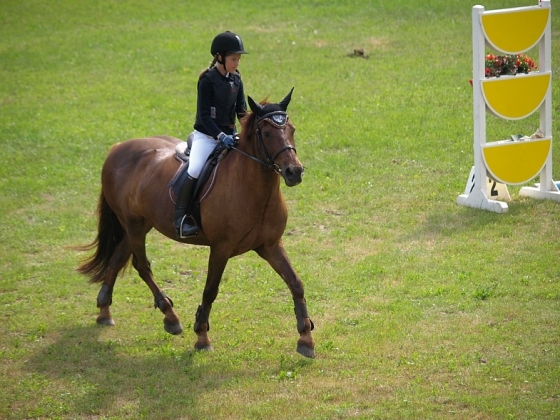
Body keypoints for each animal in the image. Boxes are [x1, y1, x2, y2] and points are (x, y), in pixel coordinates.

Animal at [75, 88, 316, 358]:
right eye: (266, 133)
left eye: (292, 129)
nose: (294, 172)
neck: (253, 189)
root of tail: (117, 148)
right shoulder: (221, 248)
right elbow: (210, 290)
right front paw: (202, 336)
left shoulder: (270, 245)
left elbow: (296, 283)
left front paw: (306, 339)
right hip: (134, 225)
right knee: (142, 265)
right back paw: (170, 317)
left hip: (138, 224)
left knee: (117, 258)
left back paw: (104, 312)